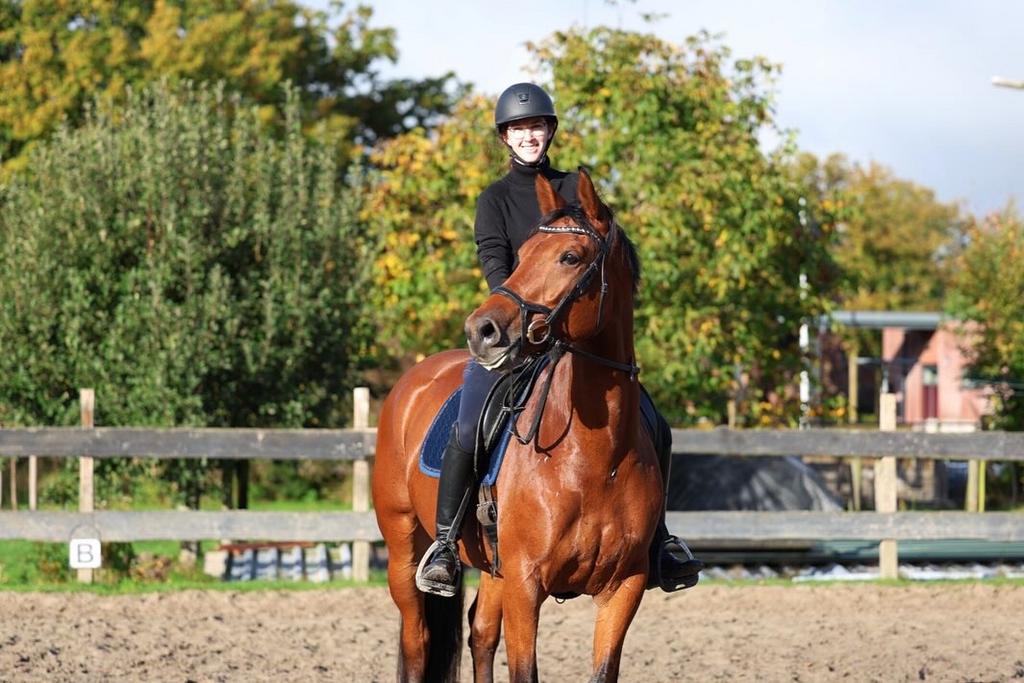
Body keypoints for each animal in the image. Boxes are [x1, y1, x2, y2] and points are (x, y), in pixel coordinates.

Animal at [372, 168, 662, 683]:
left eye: (570, 257)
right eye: (521, 256)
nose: (482, 330)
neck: (593, 458)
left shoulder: (624, 586)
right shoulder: (527, 585)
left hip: (493, 570)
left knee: (480, 633)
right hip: (404, 546)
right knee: (417, 639)